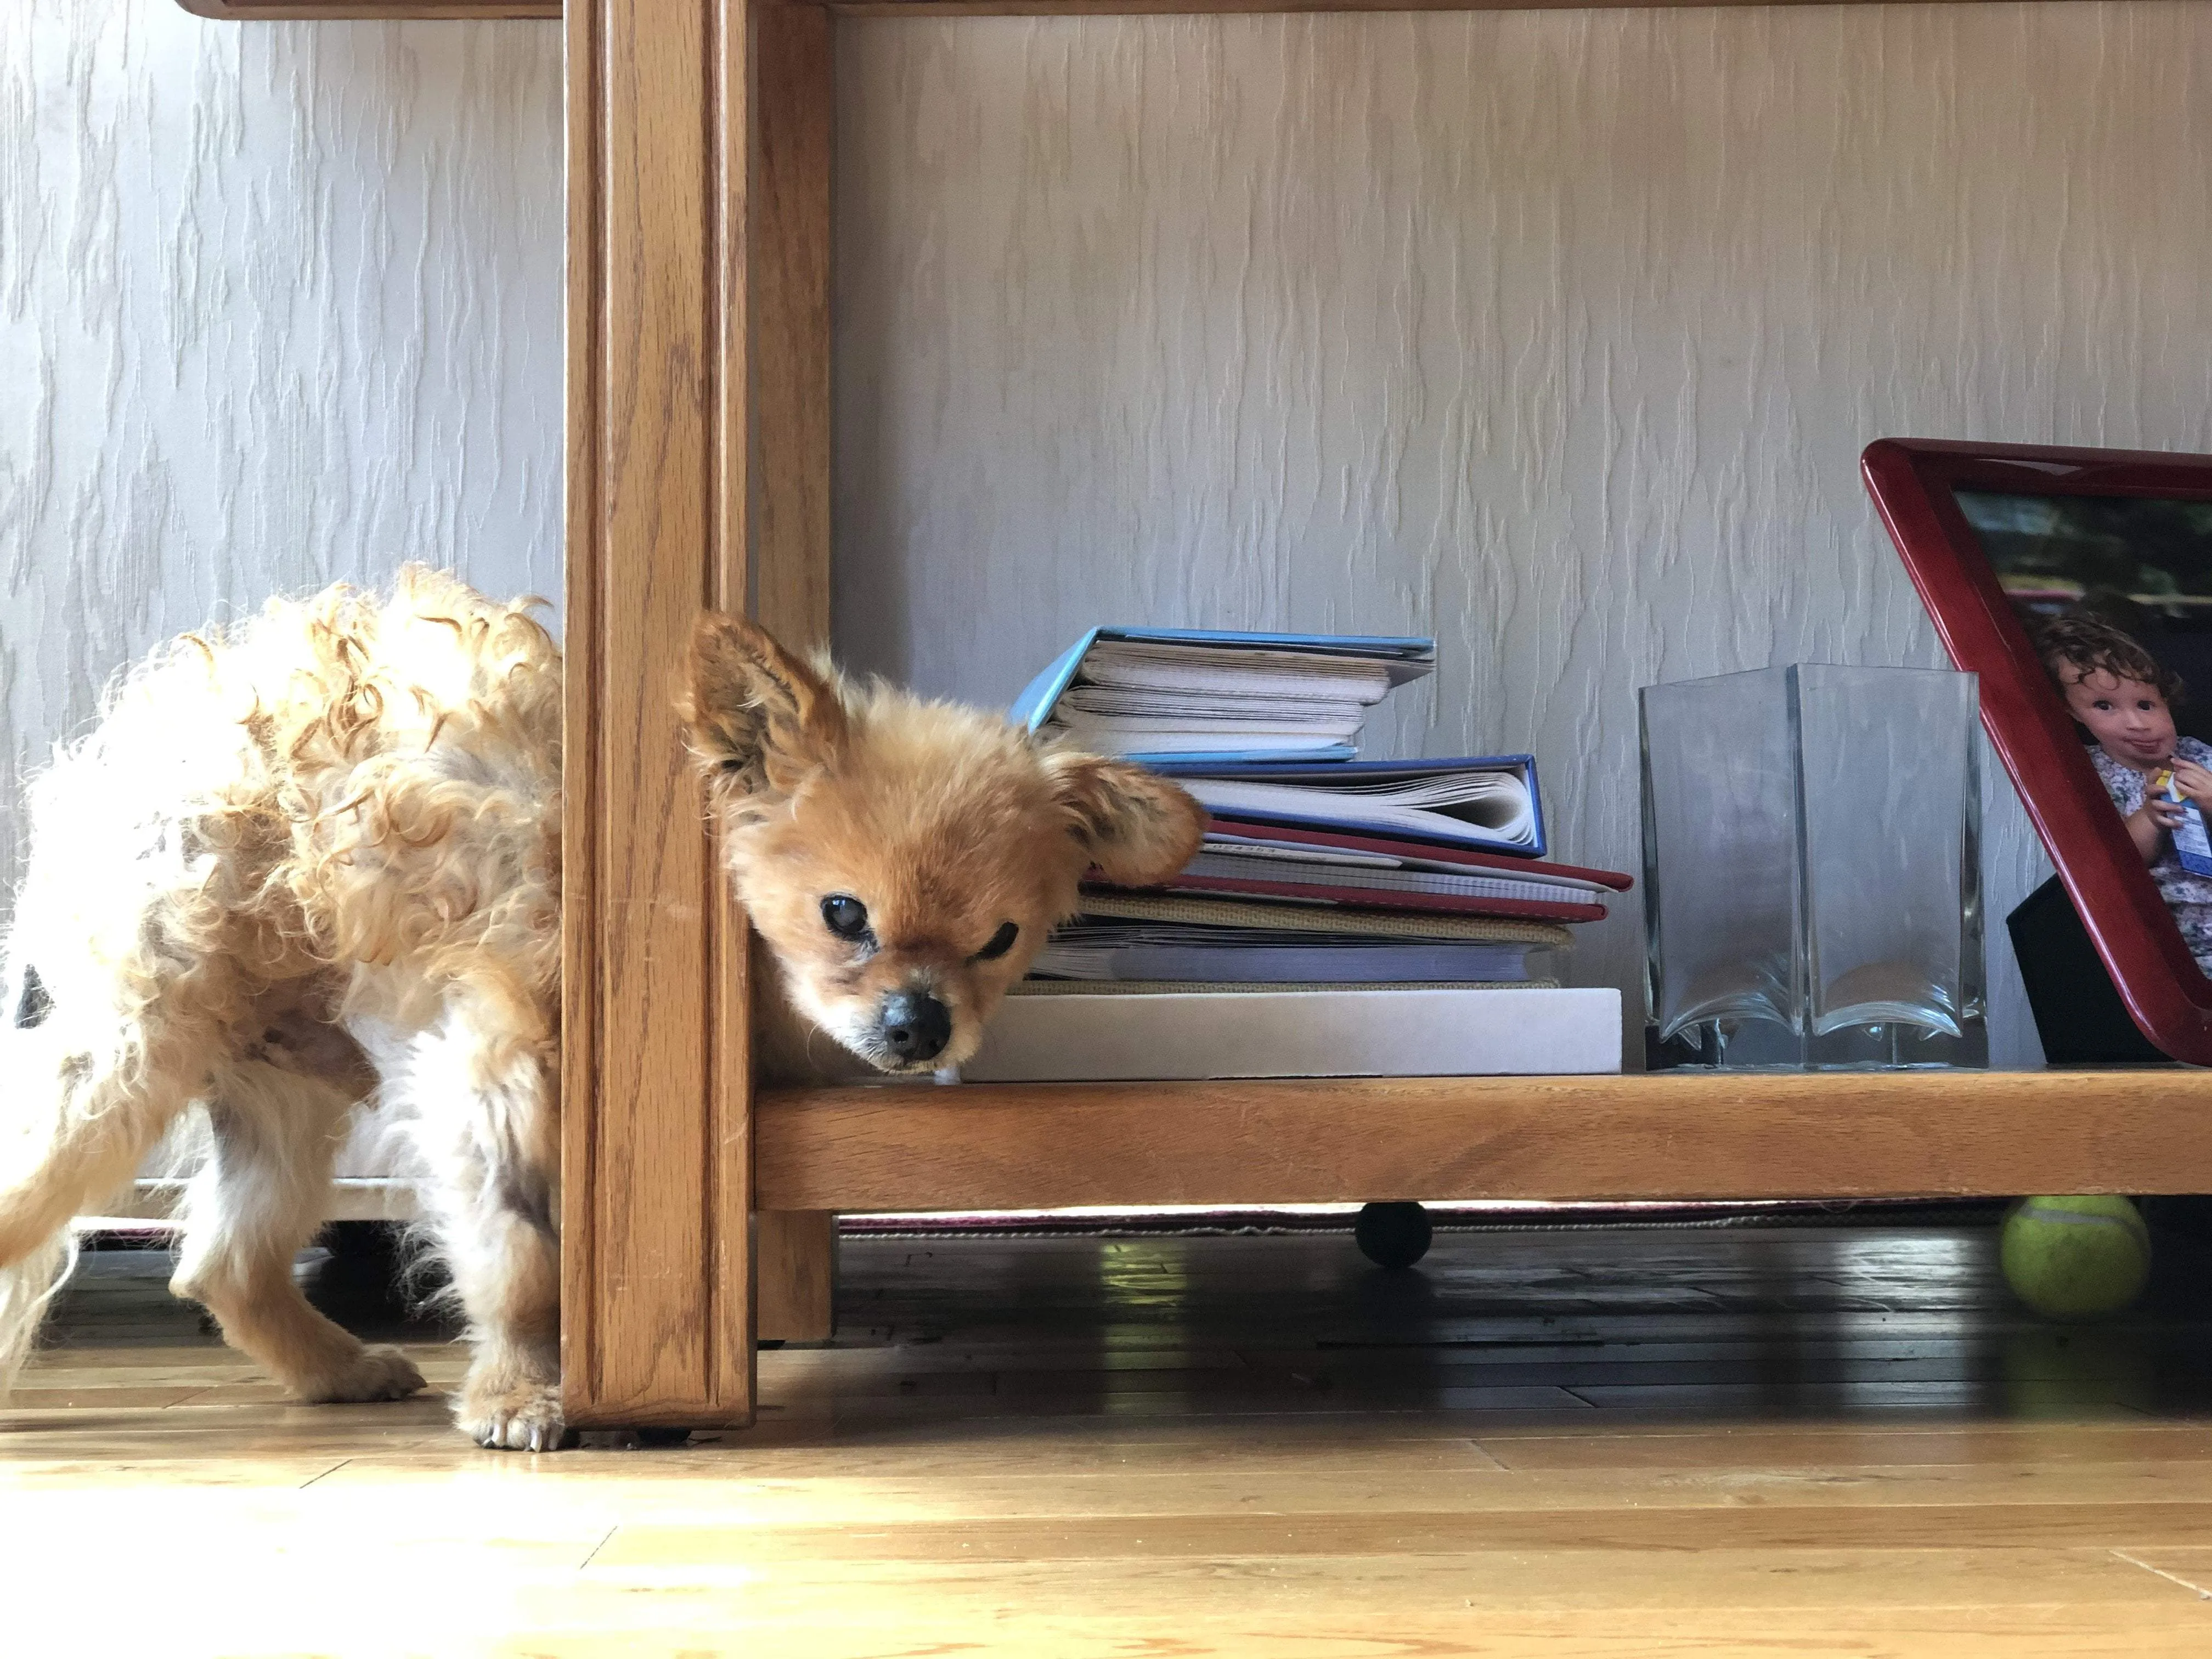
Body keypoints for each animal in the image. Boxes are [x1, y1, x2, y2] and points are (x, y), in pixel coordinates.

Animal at [0, 575, 1203, 1451]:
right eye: (844, 913)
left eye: (999, 942)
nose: (920, 1025)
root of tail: (134, 733)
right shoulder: (494, 1080)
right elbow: (521, 1257)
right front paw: (524, 1394)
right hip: (138, 1050)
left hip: (285, 1092)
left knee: (222, 1263)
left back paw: (340, 1368)